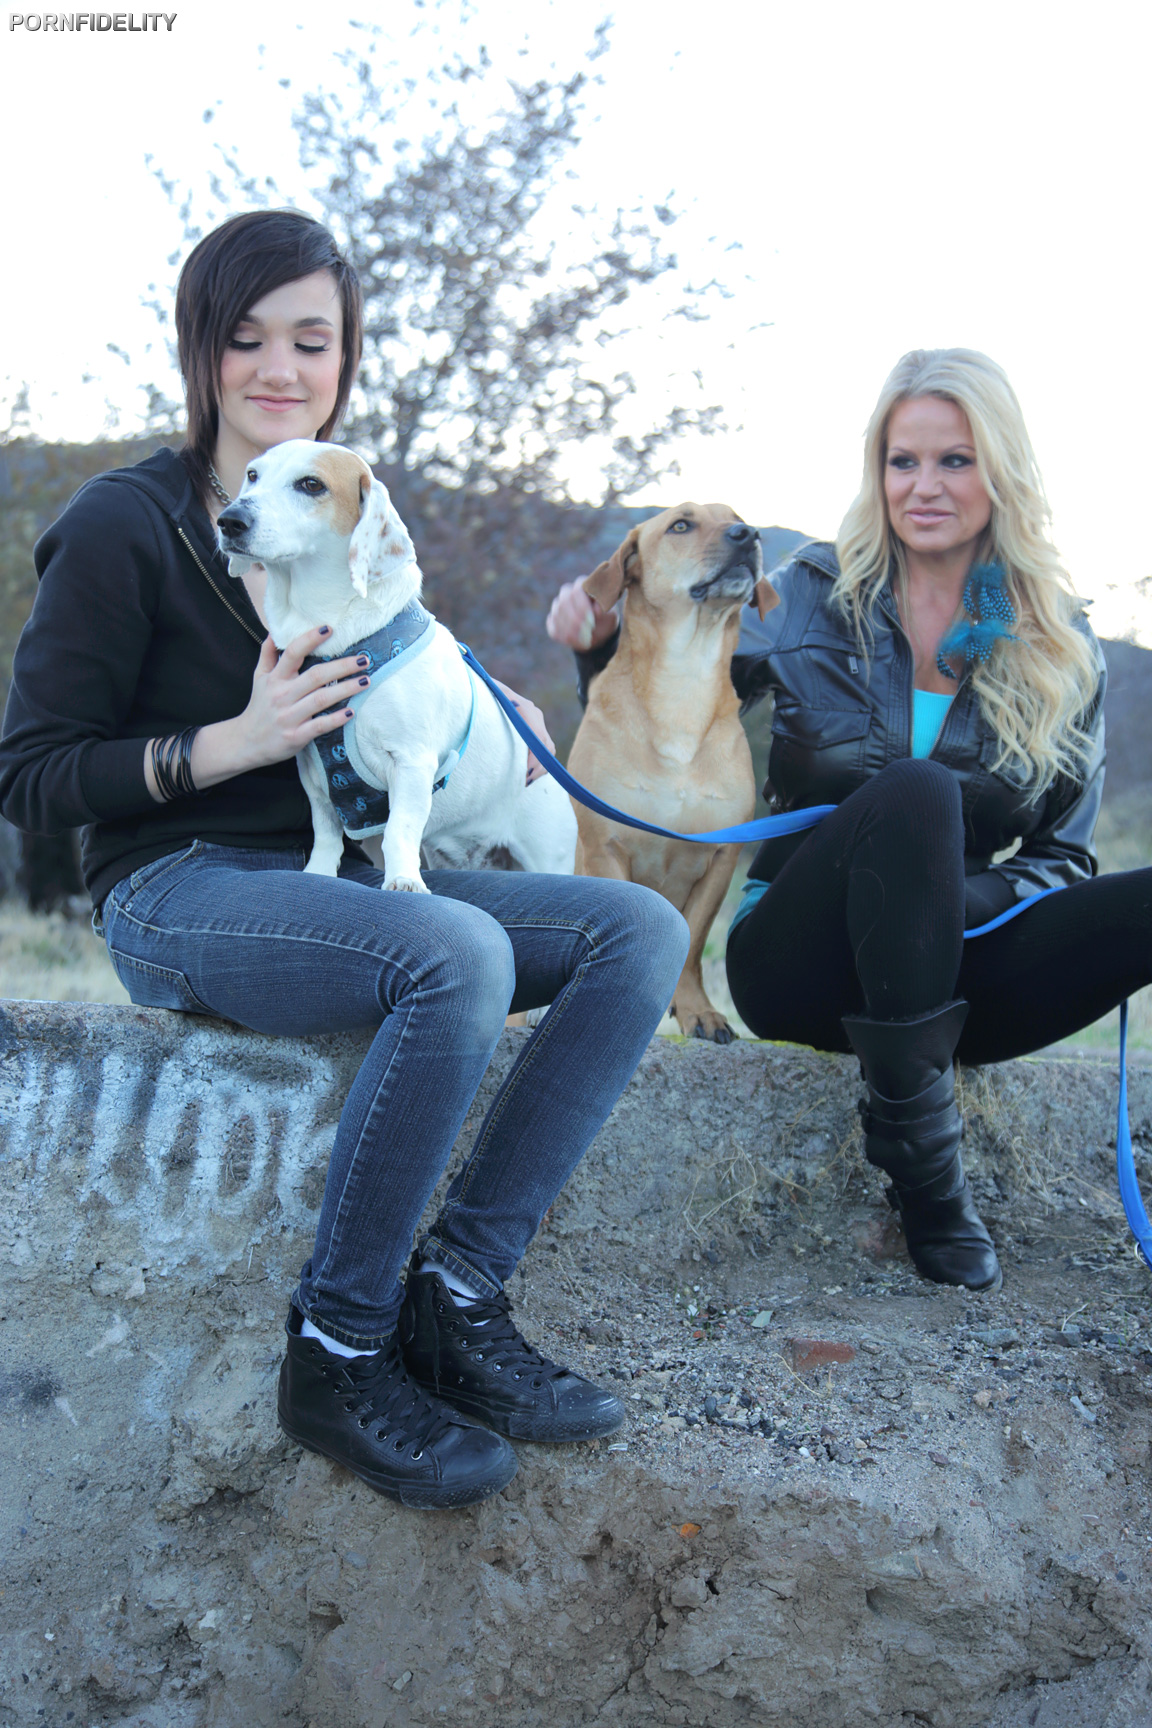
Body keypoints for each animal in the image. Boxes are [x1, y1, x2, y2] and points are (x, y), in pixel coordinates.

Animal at [216, 440, 576, 889]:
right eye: (252, 475)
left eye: (311, 484)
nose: (229, 521)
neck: (338, 637)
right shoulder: (314, 770)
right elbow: (326, 830)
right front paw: (320, 873)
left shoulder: (412, 761)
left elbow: (398, 829)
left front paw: (403, 879)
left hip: (549, 854)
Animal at [566, 503, 778, 1042]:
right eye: (681, 525)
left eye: (736, 514)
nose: (748, 533)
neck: (684, 680)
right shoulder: (606, 846)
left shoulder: (723, 855)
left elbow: (693, 943)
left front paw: (698, 1010)